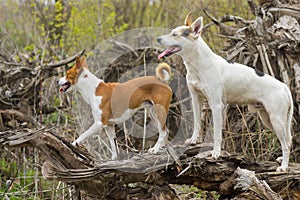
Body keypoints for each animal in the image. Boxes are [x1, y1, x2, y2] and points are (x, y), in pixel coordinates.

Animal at [157, 13, 292, 171]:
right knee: (287, 141)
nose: (158, 39)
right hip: (267, 119)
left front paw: (216, 153)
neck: (198, 65)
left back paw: (284, 166)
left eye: (175, 34)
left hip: (276, 120)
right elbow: (197, 124)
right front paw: (194, 140)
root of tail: (284, 87)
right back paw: (283, 160)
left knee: (285, 144)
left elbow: (217, 134)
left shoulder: (216, 106)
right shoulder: (196, 100)